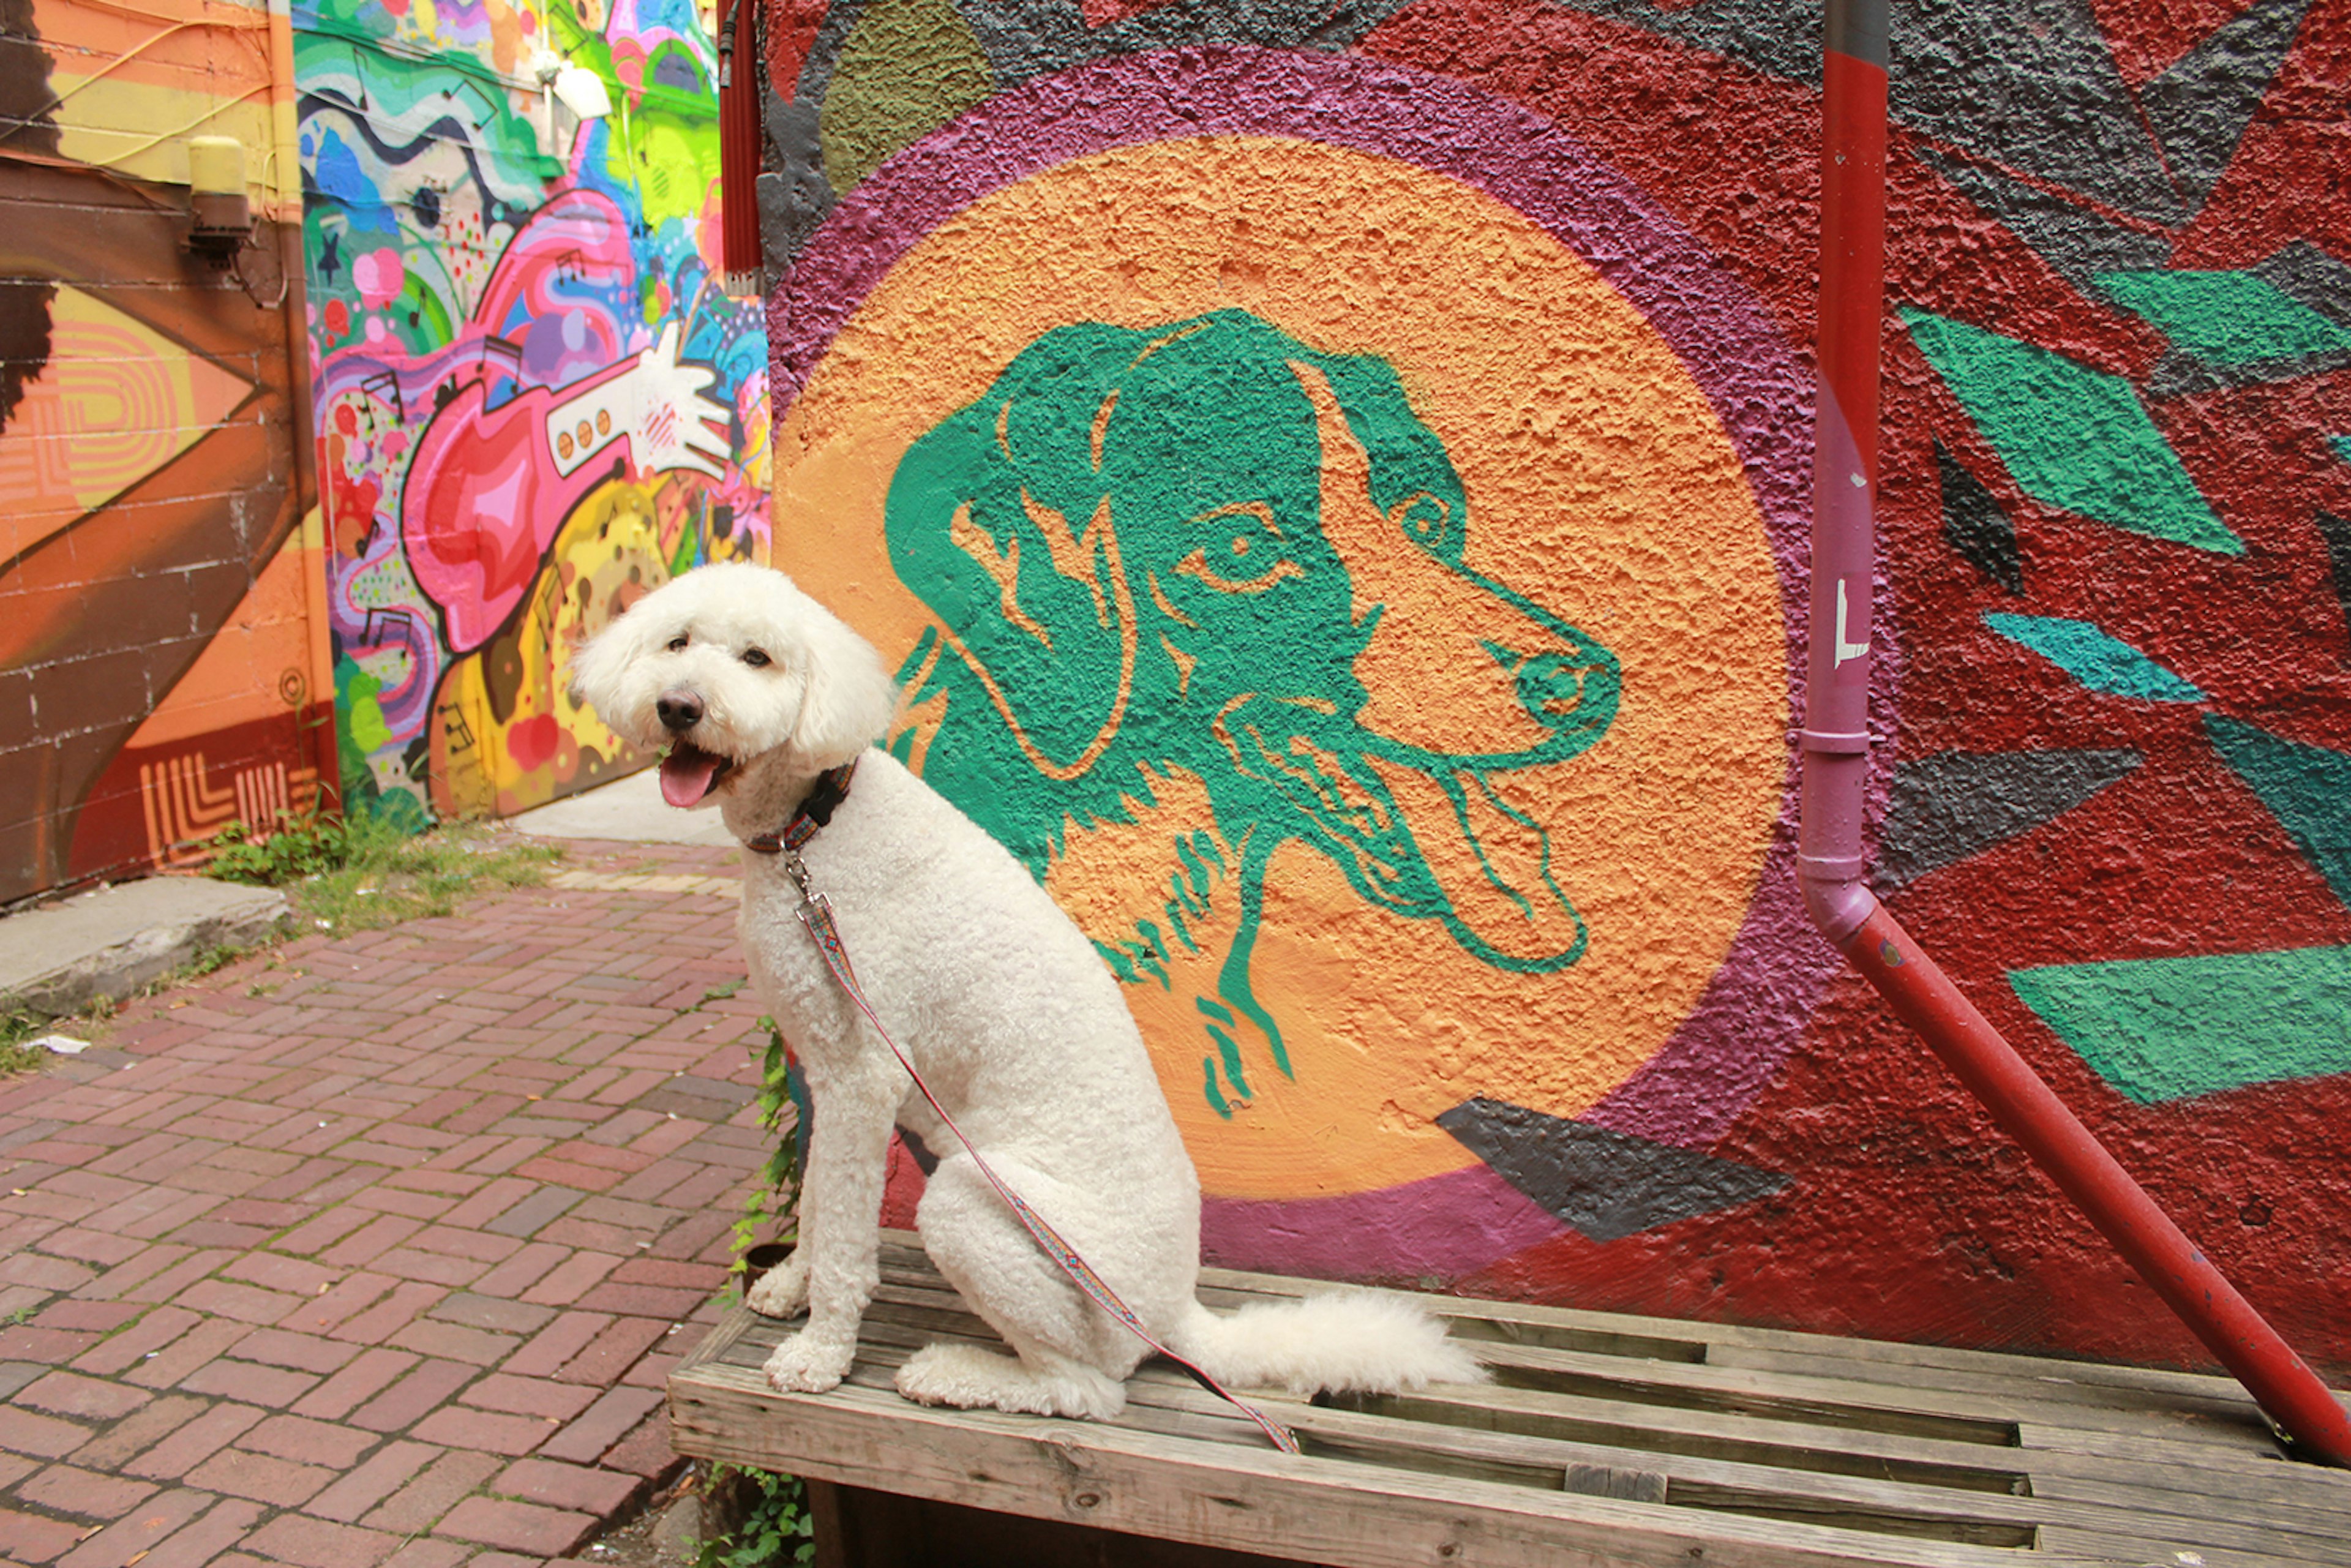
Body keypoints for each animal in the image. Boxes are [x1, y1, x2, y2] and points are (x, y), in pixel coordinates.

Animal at [569, 564, 1476, 1420]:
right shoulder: (829, 1068)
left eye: (759, 658)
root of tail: (1176, 1313)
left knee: (1088, 1390)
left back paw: (958, 1374)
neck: (814, 828)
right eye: (678, 642)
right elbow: (822, 1201)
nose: (680, 706)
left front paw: (820, 1353)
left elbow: (848, 1235)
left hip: (976, 1208)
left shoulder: (865, 1075)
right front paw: (791, 1287)